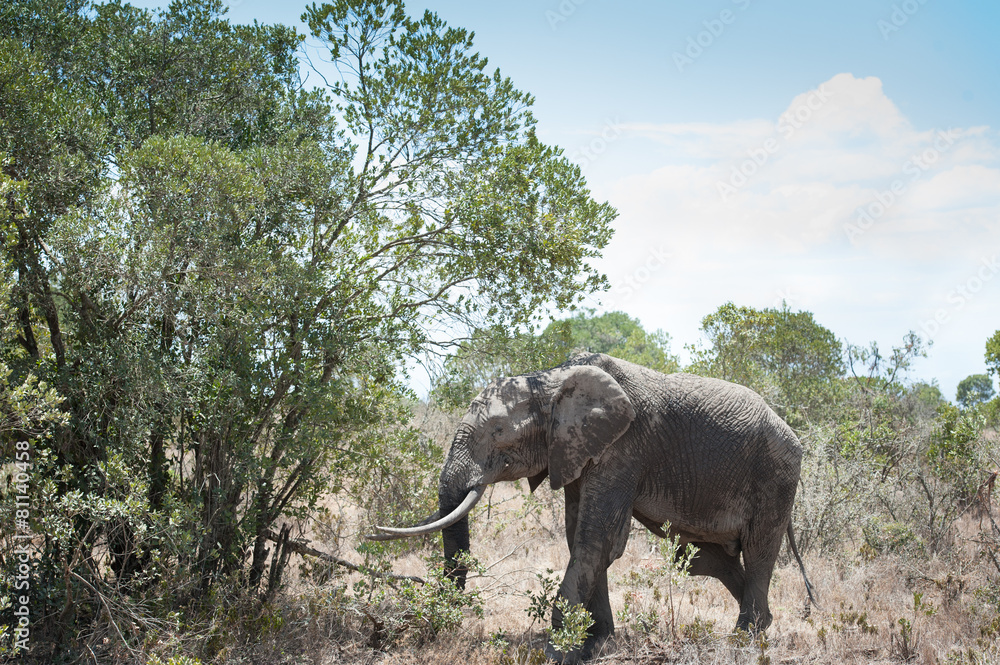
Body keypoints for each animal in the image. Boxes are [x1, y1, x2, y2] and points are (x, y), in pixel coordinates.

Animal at [370, 353, 816, 663]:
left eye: (497, 432)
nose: (428, 629)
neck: (550, 380)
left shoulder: (624, 446)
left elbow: (596, 537)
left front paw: (556, 652)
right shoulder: (575, 449)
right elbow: (579, 536)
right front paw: (596, 645)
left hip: (776, 476)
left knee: (758, 551)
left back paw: (743, 640)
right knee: (708, 560)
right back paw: (760, 626)